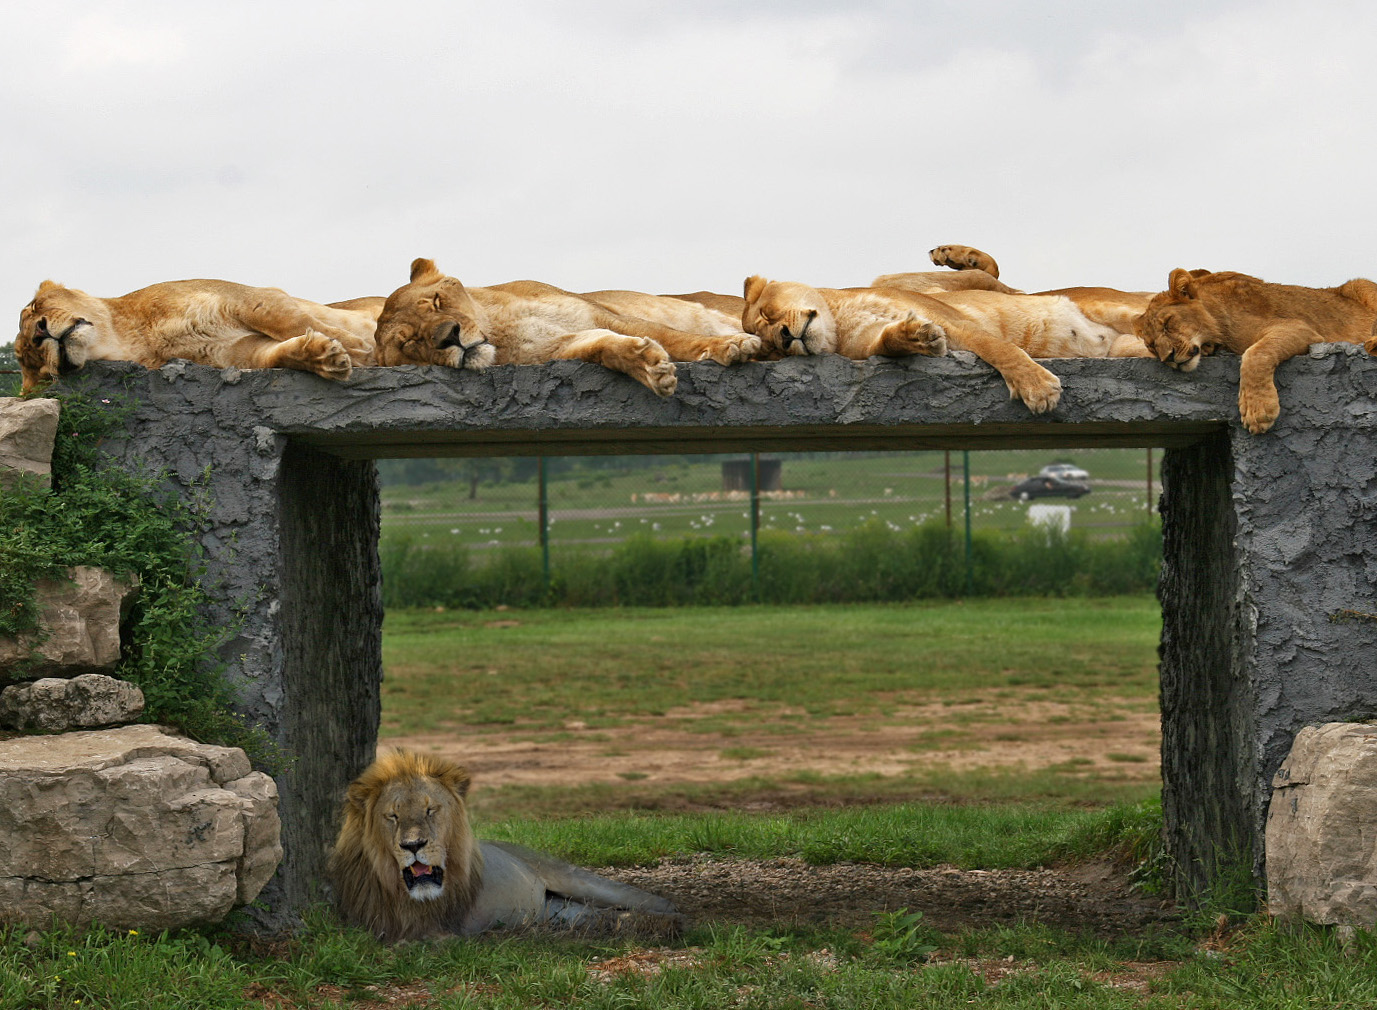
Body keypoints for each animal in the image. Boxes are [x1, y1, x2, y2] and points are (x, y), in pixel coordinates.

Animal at [15, 278, 383, 393]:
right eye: (30, 359)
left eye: (34, 307)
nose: (39, 333)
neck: (136, 339)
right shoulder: (238, 353)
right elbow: (280, 353)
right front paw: (325, 356)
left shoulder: (251, 299)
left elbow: (290, 320)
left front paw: (362, 349)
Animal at [328, 750, 682, 942]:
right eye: (393, 815)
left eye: (431, 810)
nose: (413, 844)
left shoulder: (452, 921)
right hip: (556, 910)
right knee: (598, 916)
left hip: (575, 877)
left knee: (648, 900)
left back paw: (676, 921)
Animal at [372, 259, 762, 397]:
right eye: (411, 343)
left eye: (436, 301)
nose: (449, 336)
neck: (500, 330)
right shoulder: (562, 347)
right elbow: (608, 349)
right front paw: (650, 367)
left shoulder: (603, 314)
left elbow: (677, 338)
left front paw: (729, 346)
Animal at [741, 273, 1141, 413]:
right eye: (771, 350)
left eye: (769, 314)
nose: (784, 337)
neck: (840, 320)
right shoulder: (866, 347)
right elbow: (887, 342)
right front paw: (915, 336)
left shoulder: (958, 322)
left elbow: (999, 348)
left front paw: (1037, 387)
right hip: (1123, 347)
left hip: (1114, 306)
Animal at [1135, 267, 1377, 433]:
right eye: (1152, 346)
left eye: (1167, 324)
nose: (1168, 357)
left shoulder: (1301, 327)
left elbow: (1255, 353)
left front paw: (1257, 410)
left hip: (1361, 284)